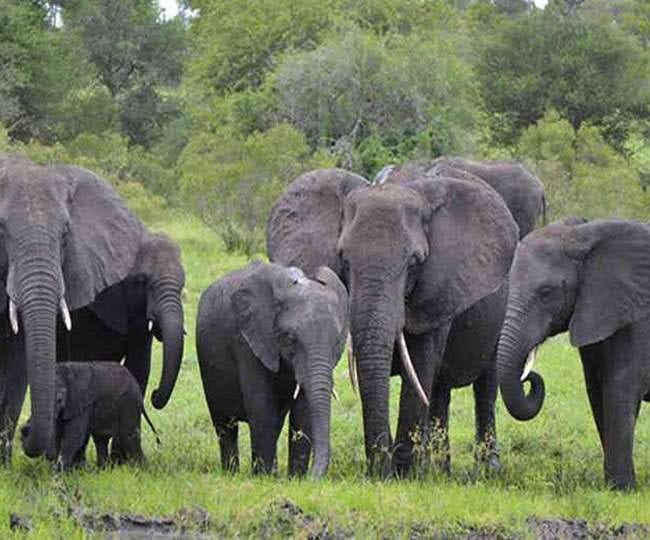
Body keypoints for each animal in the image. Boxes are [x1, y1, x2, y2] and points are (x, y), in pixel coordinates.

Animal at [20, 362, 159, 469]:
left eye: (59, 400)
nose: (24, 428)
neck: (66, 372)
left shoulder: (83, 402)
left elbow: (73, 437)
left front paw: (58, 472)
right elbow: (58, 434)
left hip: (129, 402)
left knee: (129, 437)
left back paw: (143, 470)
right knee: (100, 439)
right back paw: (103, 471)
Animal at [196, 261, 348, 478]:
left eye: (336, 342)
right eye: (291, 339)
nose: (313, 477)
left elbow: (303, 411)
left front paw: (296, 478)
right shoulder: (248, 340)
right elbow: (262, 406)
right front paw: (267, 477)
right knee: (225, 426)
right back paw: (231, 473)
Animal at [267, 168, 518, 477]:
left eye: (414, 263)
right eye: (344, 260)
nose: (380, 470)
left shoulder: (438, 287)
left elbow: (420, 365)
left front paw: (403, 474)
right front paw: (387, 471)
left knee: (485, 383)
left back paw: (485, 470)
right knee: (440, 391)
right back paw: (438, 470)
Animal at [496, 217, 650, 490]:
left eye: (547, 292)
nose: (528, 377)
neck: (581, 236)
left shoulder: (635, 316)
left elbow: (621, 386)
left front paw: (622, 489)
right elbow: (597, 390)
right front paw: (612, 486)